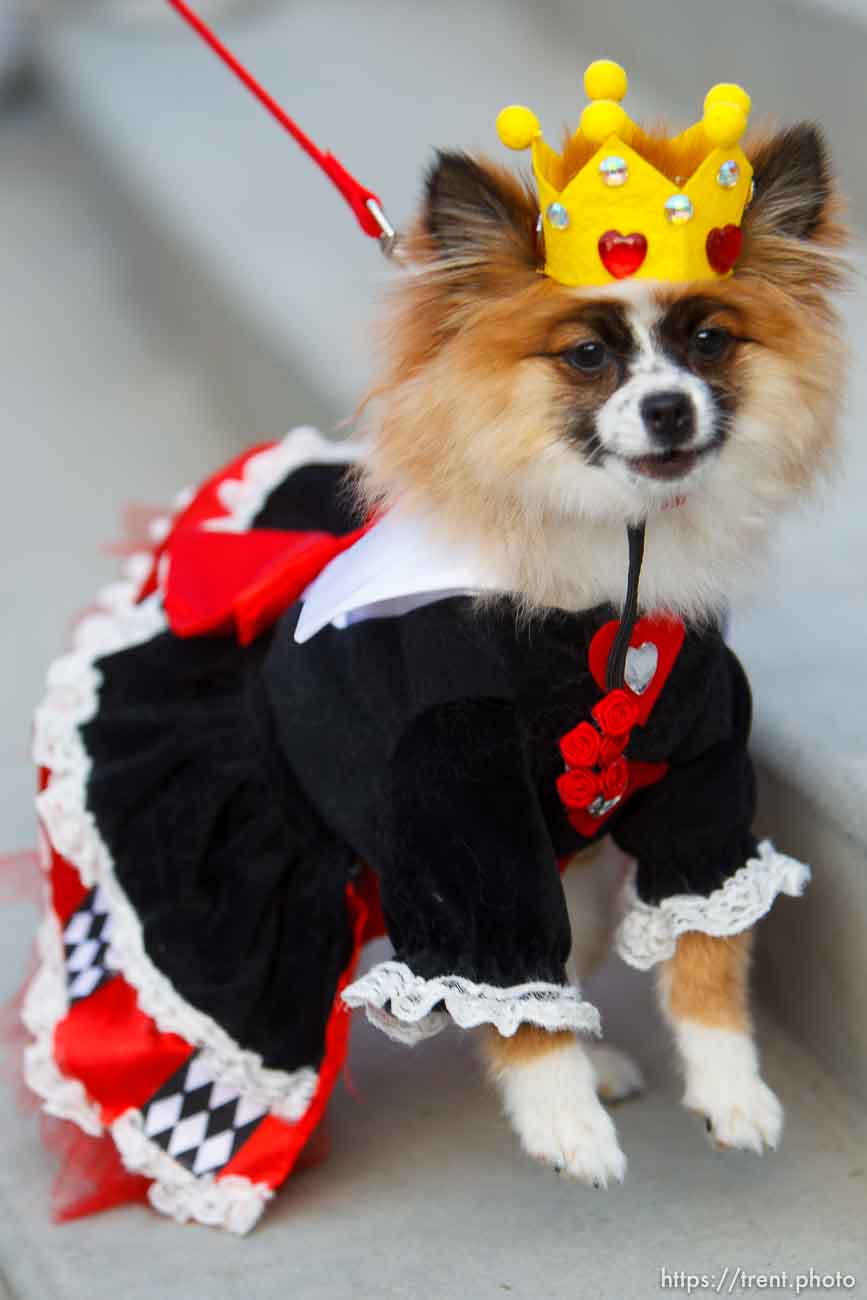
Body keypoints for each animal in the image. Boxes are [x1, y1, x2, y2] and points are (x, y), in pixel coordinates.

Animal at [353, 124, 847, 1190]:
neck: (606, 570)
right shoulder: (464, 816)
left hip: (574, 876)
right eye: (585, 355)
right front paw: (563, 1122)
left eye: (710, 342)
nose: (668, 409)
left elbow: (706, 950)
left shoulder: (703, 779)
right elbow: (503, 986)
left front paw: (731, 1091)